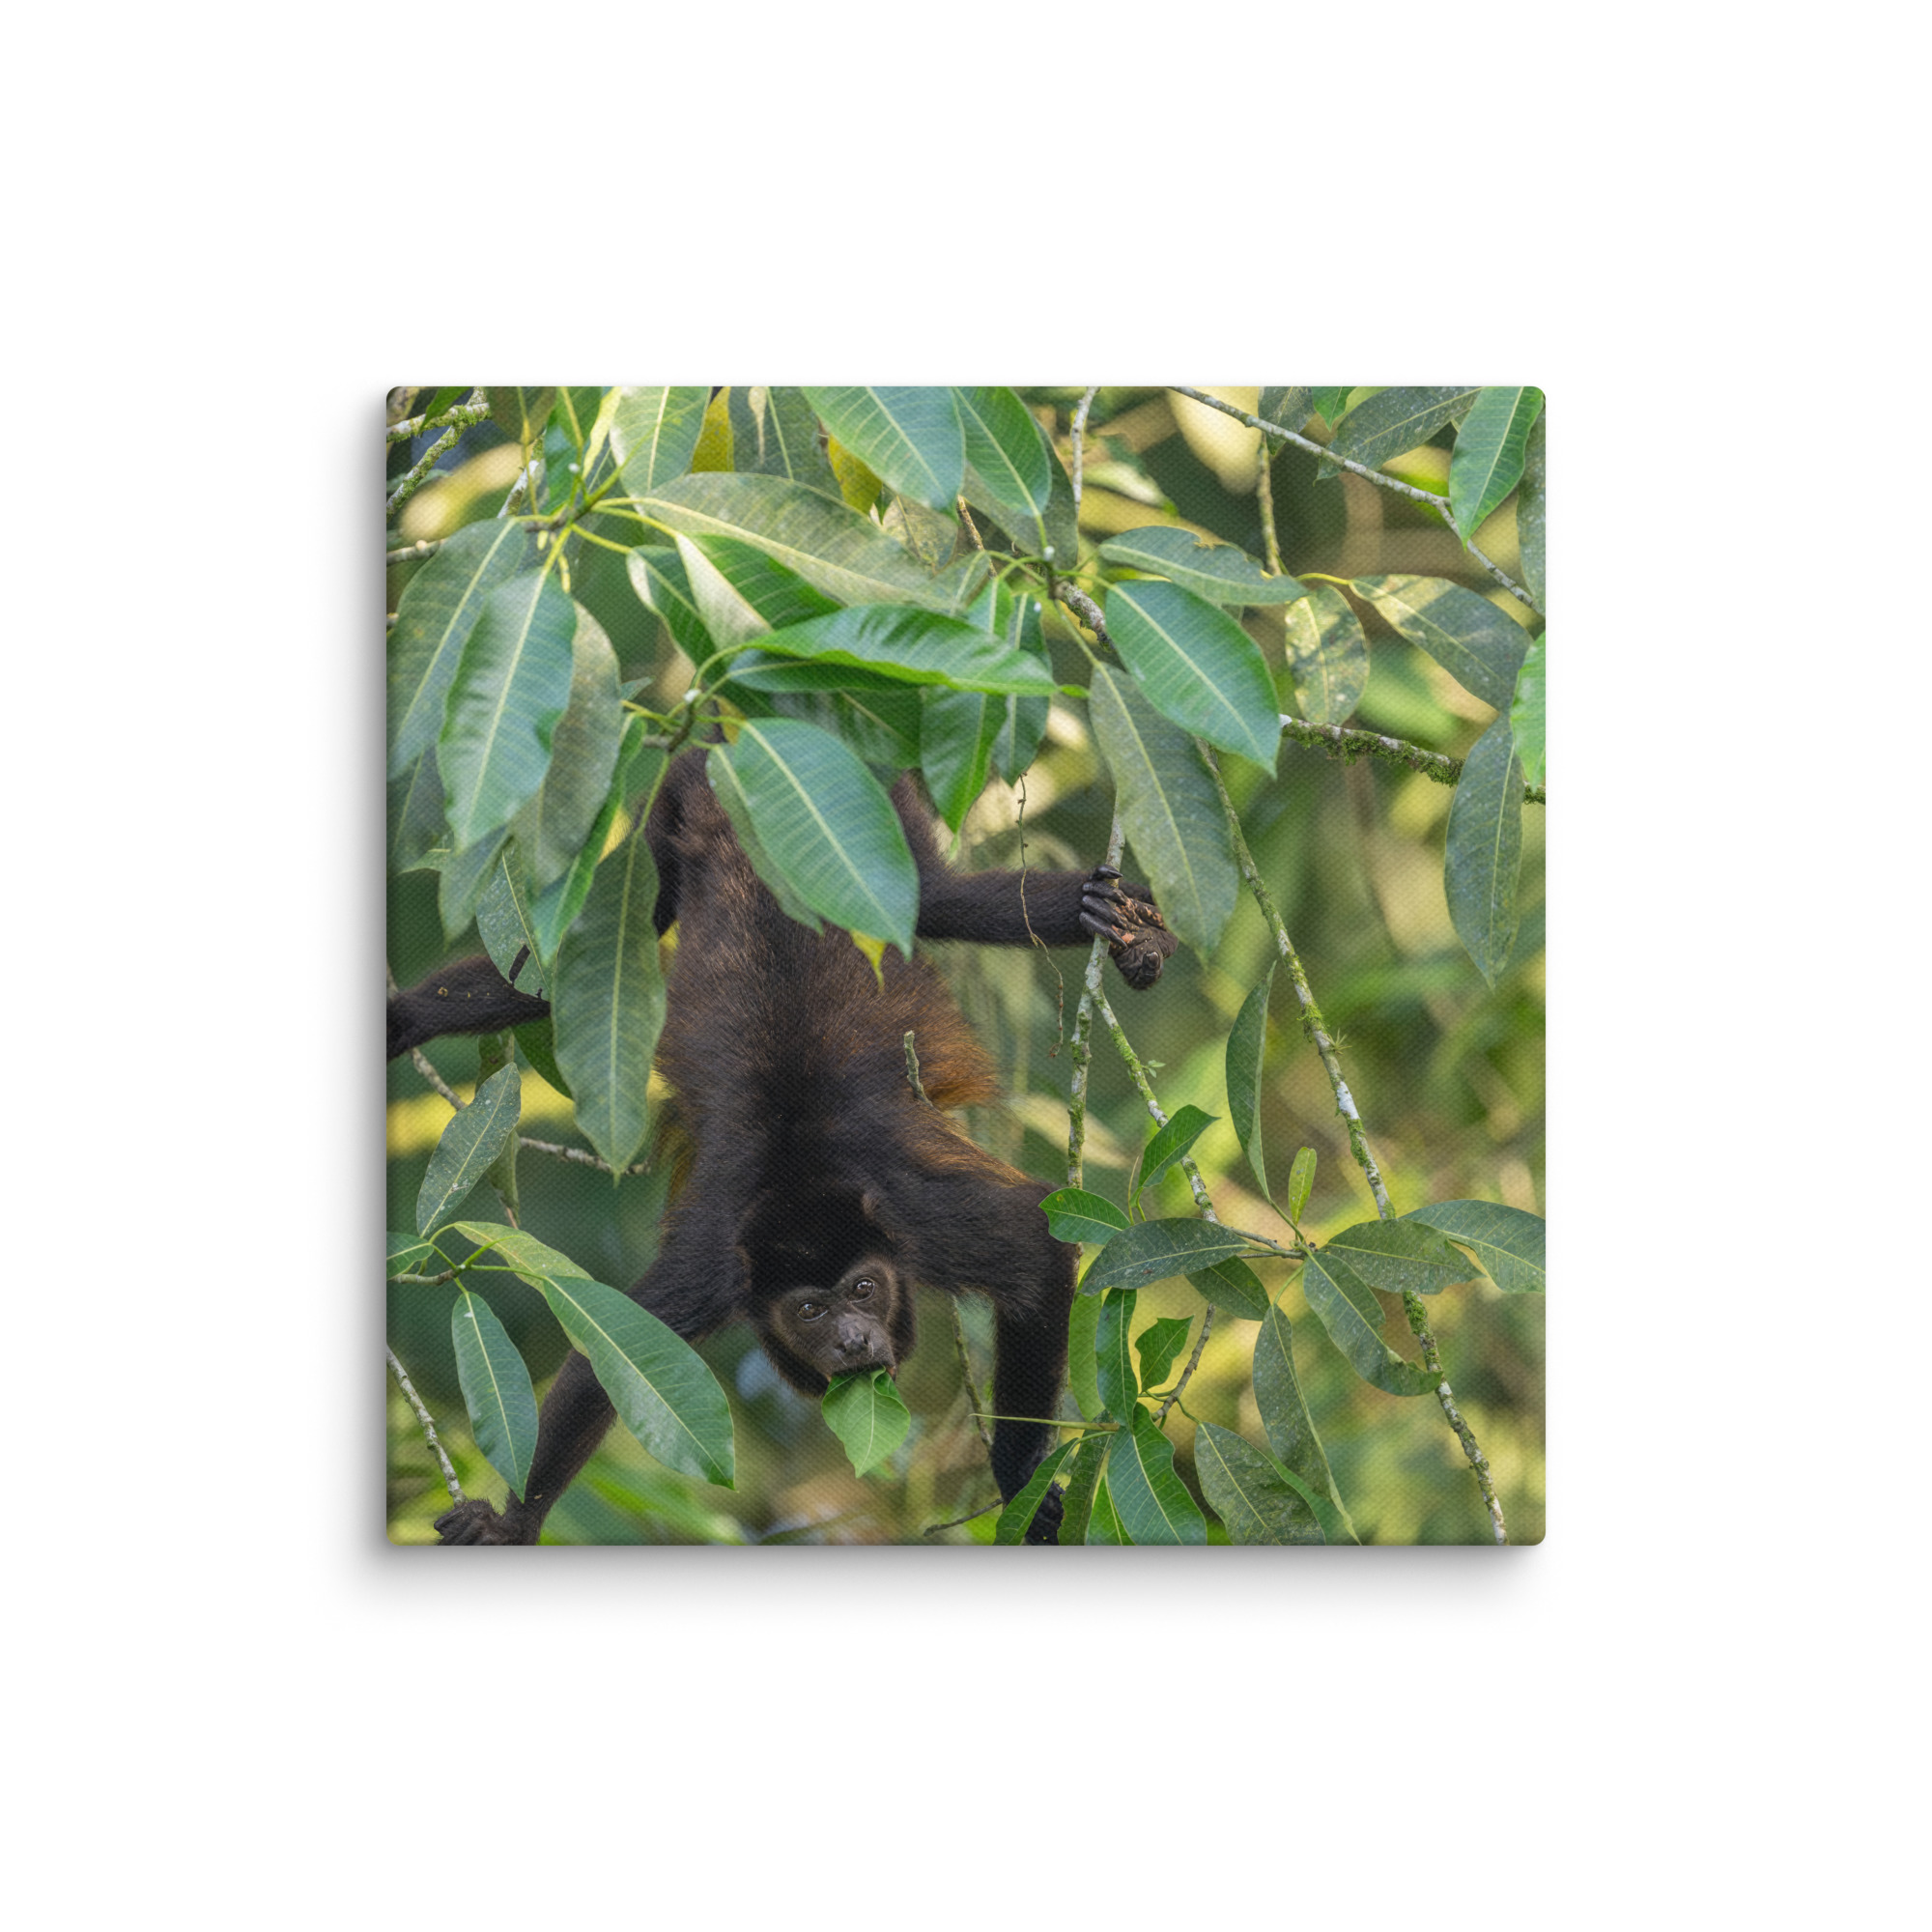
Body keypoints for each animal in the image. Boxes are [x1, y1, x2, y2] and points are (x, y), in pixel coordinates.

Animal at [391, 746, 1176, 1544]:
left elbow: (1036, 1247)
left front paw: (1019, 1478)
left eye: (863, 1289)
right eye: (809, 1311)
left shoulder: (920, 1219)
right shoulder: (714, 1264)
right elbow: (617, 1352)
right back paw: (410, 1016)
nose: (854, 1341)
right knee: (585, 955)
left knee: (939, 900)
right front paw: (511, 1525)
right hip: (671, 815)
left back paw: (1120, 923)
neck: (802, 1181)